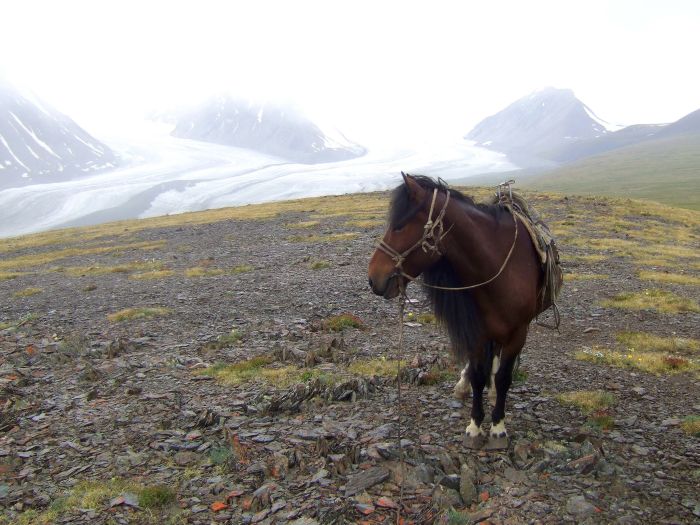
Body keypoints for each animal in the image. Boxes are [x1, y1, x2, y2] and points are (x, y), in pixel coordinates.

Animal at [370, 172, 560, 442]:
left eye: (400, 225)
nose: (372, 278)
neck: (498, 268)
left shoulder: (518, 334)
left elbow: (503, 378)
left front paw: (498, 425)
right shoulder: (477, 331)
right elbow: (478, 376)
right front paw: (475, 424)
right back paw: (463, 385)